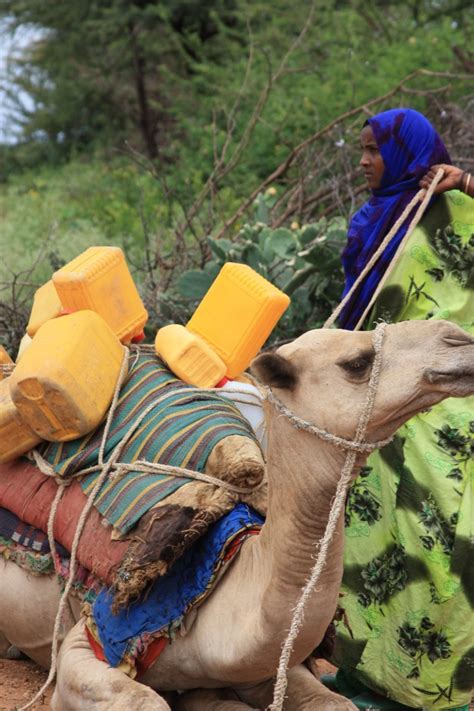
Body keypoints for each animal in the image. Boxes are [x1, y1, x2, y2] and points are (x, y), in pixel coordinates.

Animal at [0, 320, 472, 708]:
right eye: (357, 362)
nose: (459, 339)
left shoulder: (266, 669)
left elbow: (335, 703)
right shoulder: (95, 637)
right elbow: (146, 700)